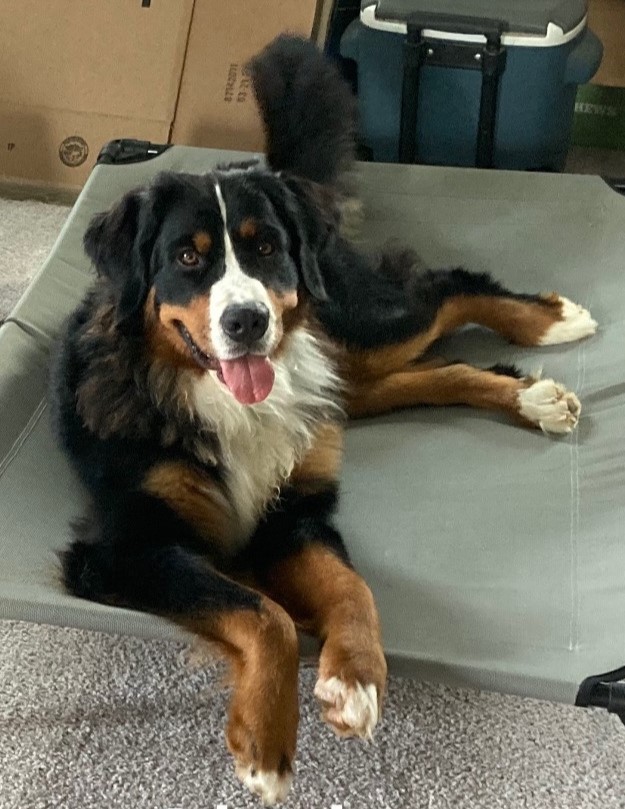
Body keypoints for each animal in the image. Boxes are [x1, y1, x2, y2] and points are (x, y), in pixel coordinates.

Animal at [50, 35, 597, 805]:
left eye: (264, 248)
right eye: (186, 256)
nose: (247, 321)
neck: (217, 399)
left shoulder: (296, 515)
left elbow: (350, 586)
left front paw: (355, 677)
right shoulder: (128, 546)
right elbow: (263, 612)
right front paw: (266, 739)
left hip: (354, 326)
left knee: (448, 291)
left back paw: (549, 324)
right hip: (347, 377)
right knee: (428, 368)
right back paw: (534, 395)